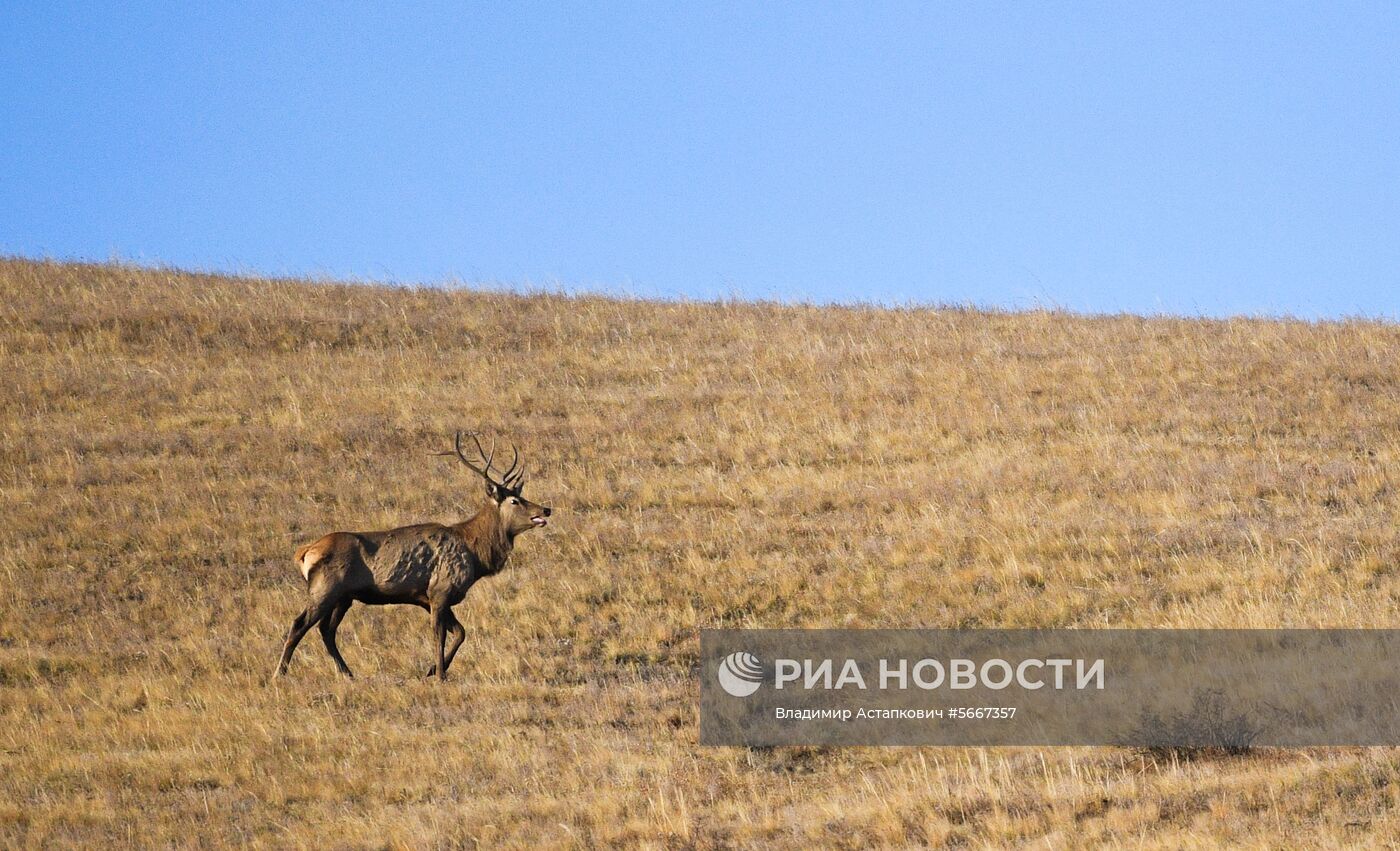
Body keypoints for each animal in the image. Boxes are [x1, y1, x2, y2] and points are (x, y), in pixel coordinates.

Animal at [273, 428, 551, 680]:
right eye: (514, 501)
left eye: (521, 495)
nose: (546, 509)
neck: (475, 555)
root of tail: (305, 552)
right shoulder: (441, 590)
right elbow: (440, 635)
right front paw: (440, 674)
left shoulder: (428, 598)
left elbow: (461, 632)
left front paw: (431, 670)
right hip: (325, 588)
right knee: (299, 624)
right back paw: (280, 673)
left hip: (344, 596)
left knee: (326, 630)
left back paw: (347, 673)